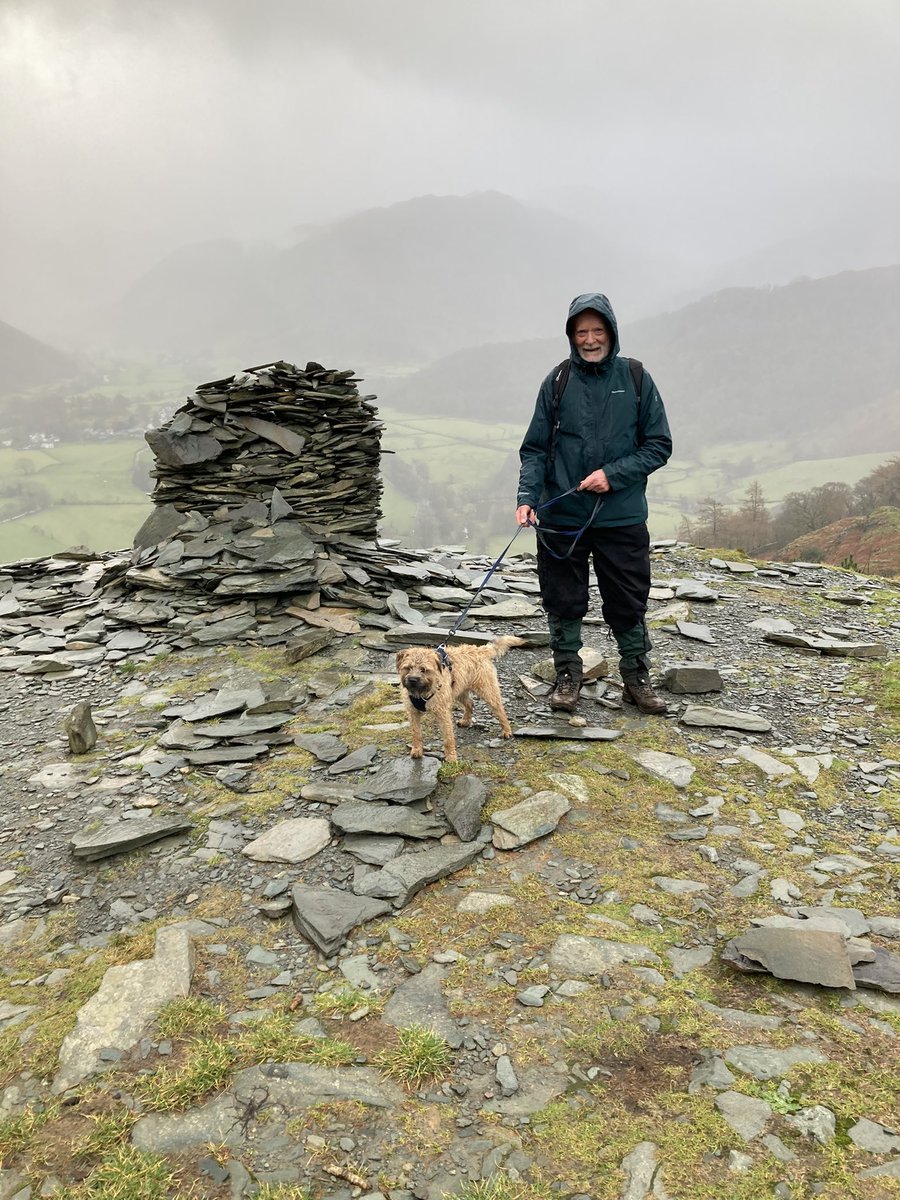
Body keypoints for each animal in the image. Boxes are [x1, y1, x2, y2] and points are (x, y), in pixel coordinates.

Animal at [396, 638, 528, 758]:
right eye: (408, 668)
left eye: (424, 669)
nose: (413, 680)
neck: (422, 692)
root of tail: (479, 650)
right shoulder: (413, 712)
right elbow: (416, 733)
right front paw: (417, 750)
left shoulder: (443, 713)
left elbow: (448, 737)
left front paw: (451, 757)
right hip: (459, 690)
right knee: (470, 703)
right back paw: (466, 721)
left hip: (487, 690)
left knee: (500, 709)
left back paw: (506, 730)